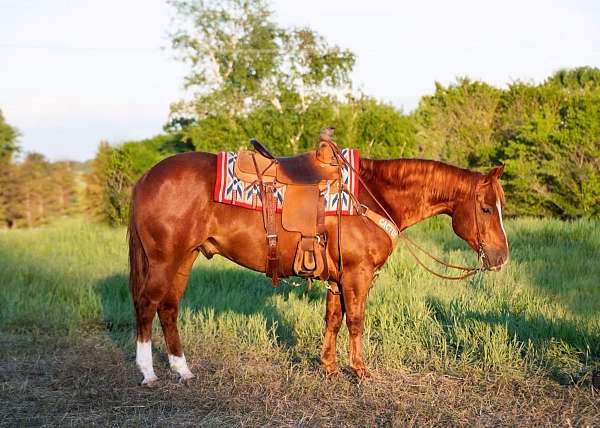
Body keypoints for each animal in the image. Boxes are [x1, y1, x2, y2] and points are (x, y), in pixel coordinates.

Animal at [129, 151, 508, 384]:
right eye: (487, 208)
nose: (501, 257)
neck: (372, 197)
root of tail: (147, 176)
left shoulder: (338, 279)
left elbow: (333, 319)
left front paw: (329, 367)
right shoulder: (357, 275)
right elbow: (355, 321)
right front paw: (360, 371)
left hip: (185, 258)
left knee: (169, 307)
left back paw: (183, 370)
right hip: (164, 260)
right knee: (148, 305)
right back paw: (148, 373)